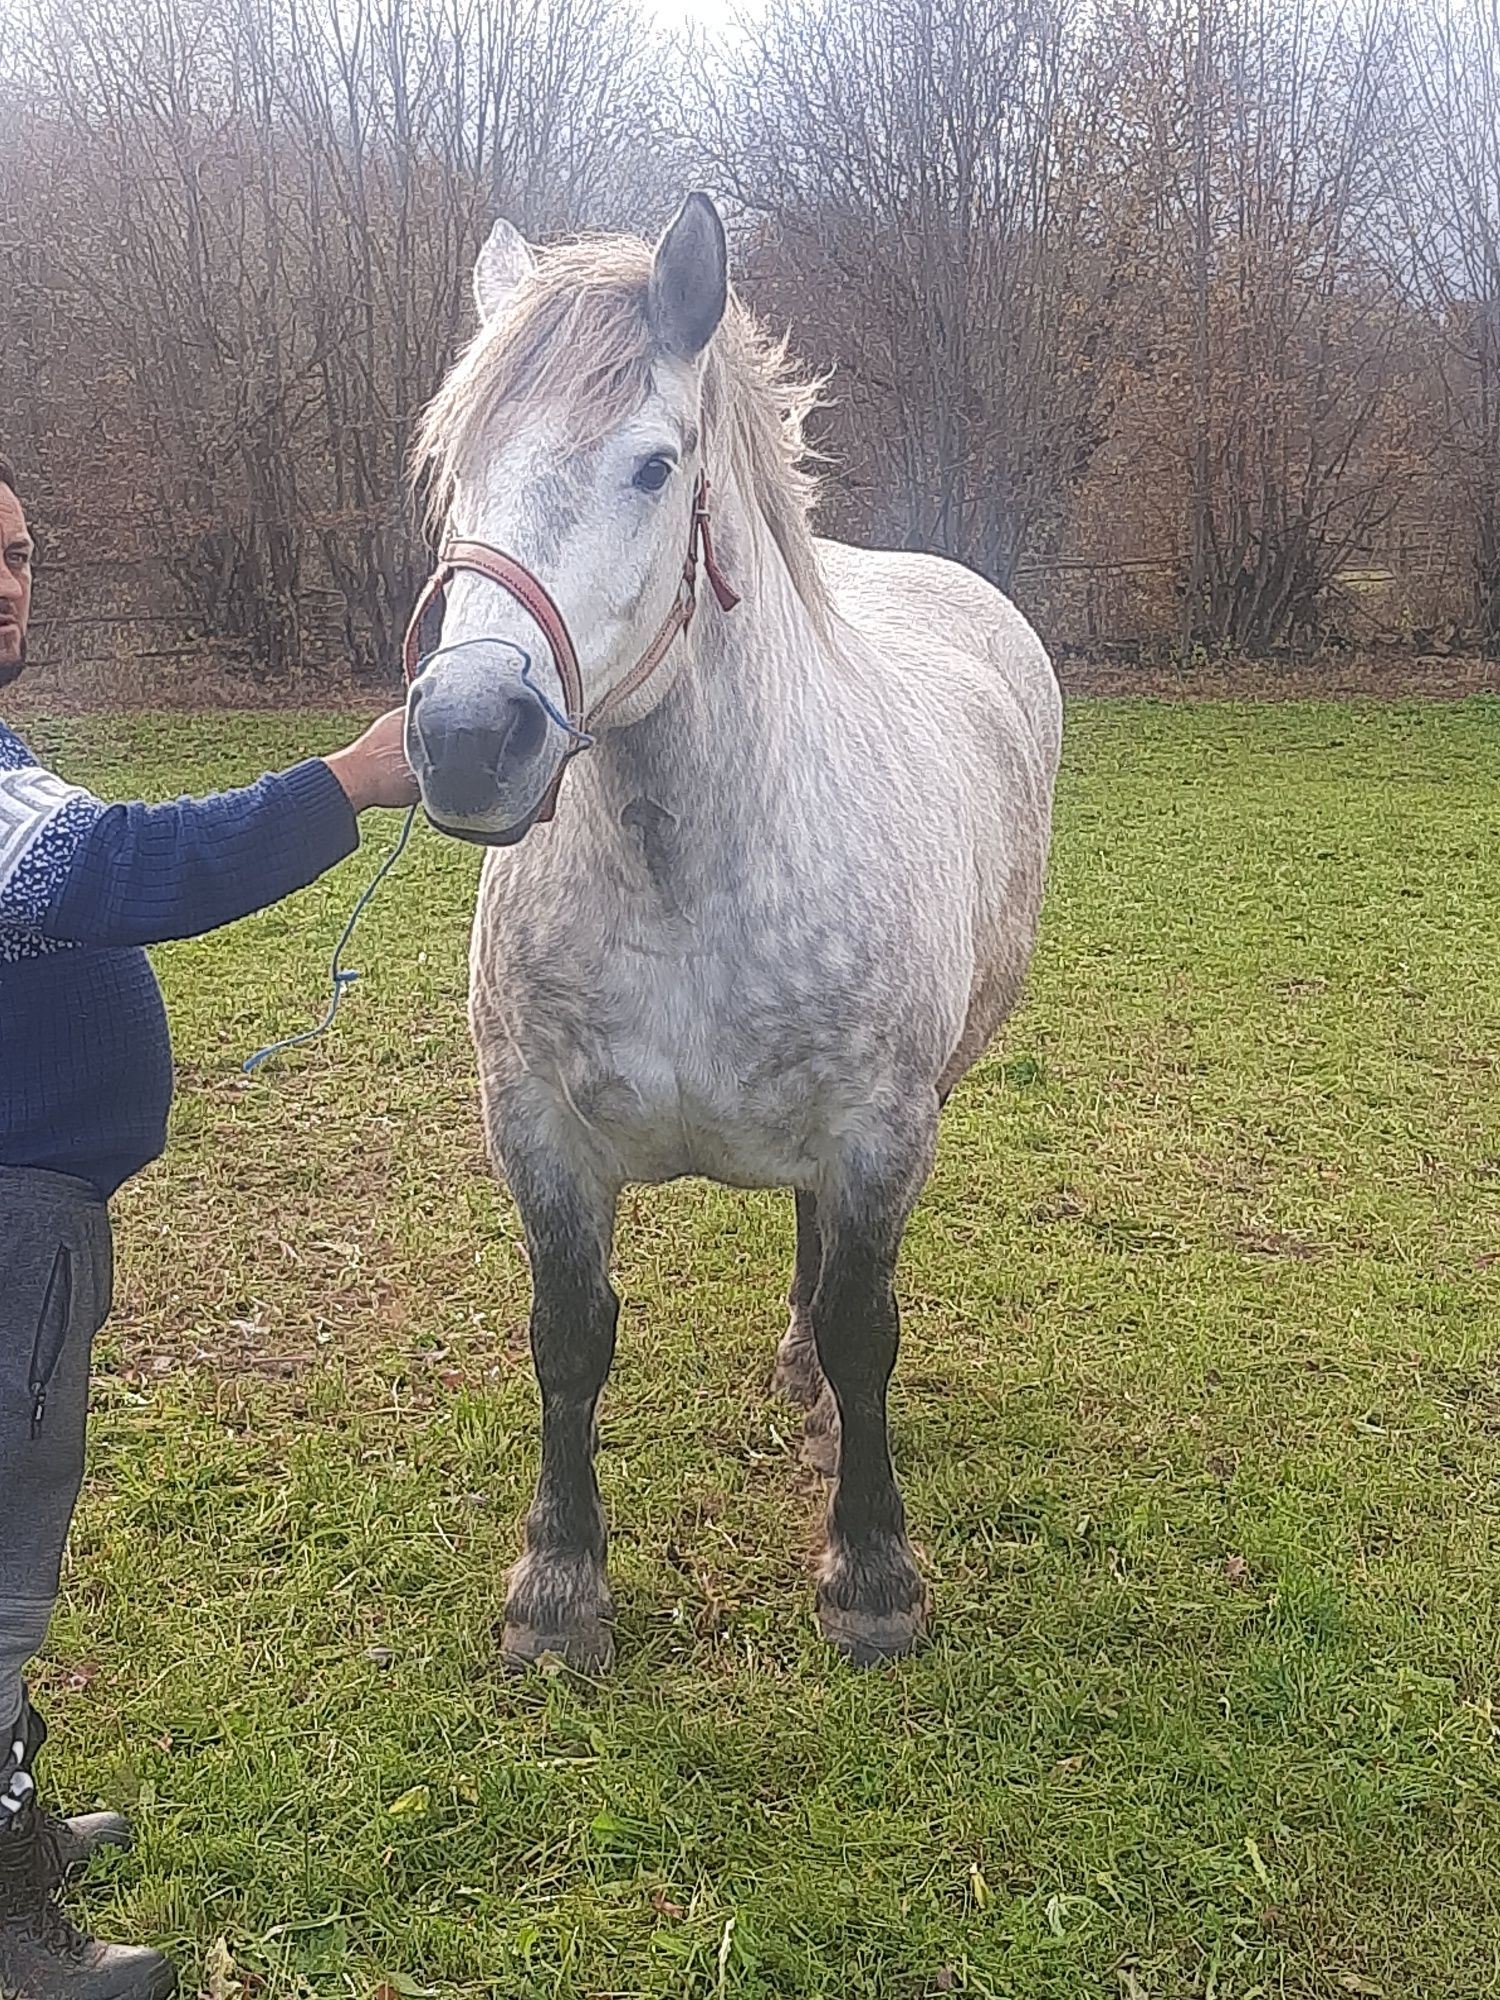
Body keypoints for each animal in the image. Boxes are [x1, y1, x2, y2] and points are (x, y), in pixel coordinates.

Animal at [406, 195, 1064, 1664]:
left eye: (654, 468)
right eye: (456, 474)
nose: (467, 736)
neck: (682, 881)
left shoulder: (880, 1126)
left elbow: (868, 1327)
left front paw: (871, 1577)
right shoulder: (537, 1130)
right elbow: (567, 1339)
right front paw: (557, 1589)